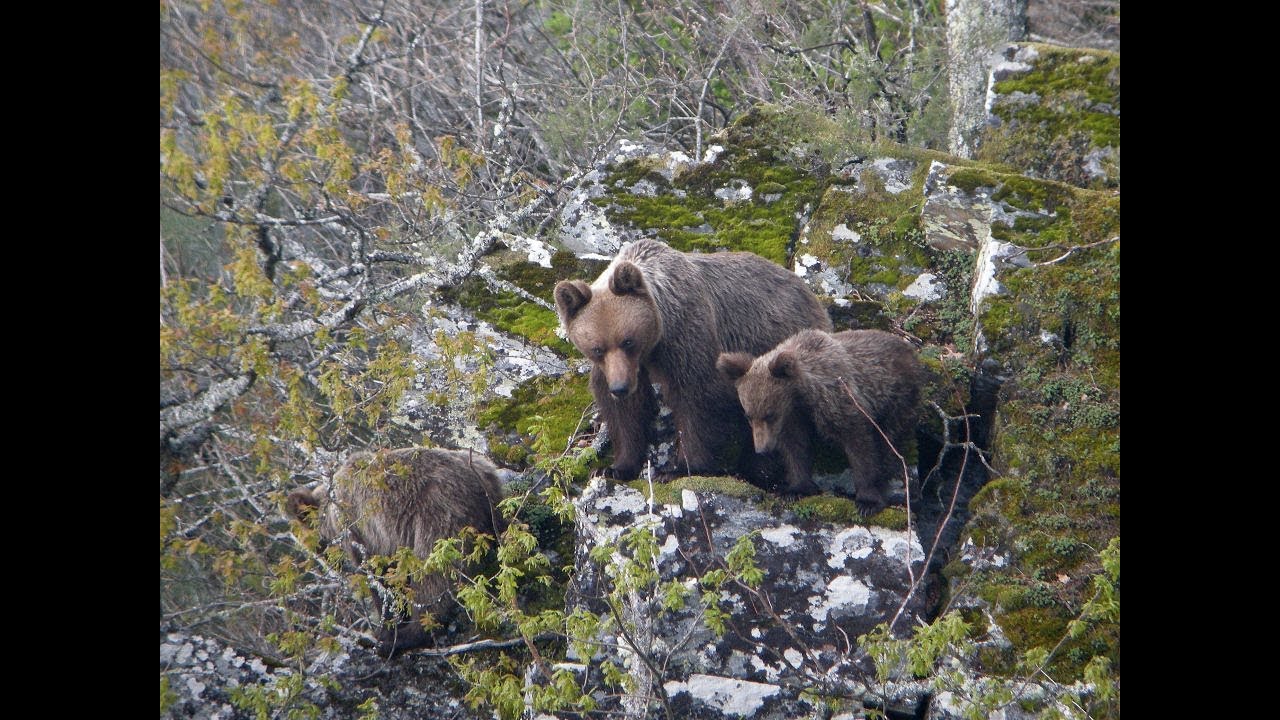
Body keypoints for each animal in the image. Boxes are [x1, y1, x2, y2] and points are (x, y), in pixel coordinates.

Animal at [286, 447, 504, 655]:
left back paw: (406, 637)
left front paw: (384, 629)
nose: (322, 557)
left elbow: (379, 577)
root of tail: (481, 478)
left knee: (432, 575)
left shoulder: (363, 530)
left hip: (440, 515)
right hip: (490, 510)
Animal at [554, 239, 832, 481]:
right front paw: (614, 468)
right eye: (597, 348)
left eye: (627, 341)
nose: (620, 387)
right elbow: (625, 413)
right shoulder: (620, 368)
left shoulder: (688, 336)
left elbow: (697, 397)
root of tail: (813, 298)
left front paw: (680, 468)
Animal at [716, 329, 925, 516]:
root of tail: (910, 350)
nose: (762, 449)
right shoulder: (793, 416)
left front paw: (868, 501)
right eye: (748, 415)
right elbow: (795, 447)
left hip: (898, 397)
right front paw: (795, 489)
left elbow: (859, 446)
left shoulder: (839, 402)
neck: (800, 395)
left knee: (889, 440)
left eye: (770, 414)